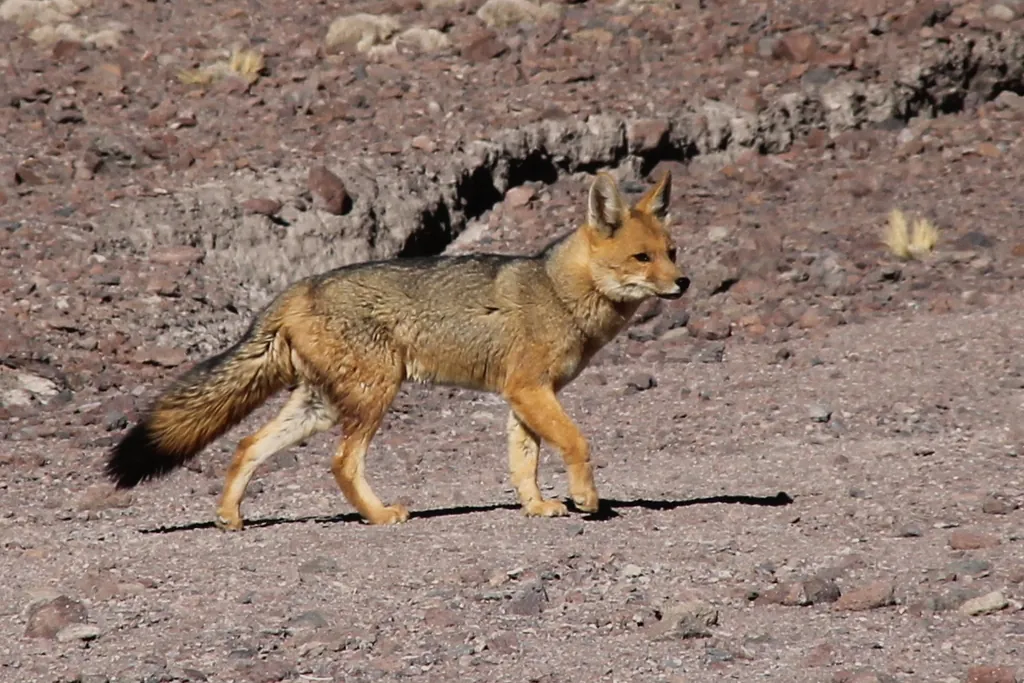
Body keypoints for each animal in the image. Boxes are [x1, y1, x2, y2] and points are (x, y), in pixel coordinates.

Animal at [105, 170, 690, 530]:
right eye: (642, 258)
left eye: (672, 252)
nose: (683, 283)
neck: (559, 290)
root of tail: (297, 288)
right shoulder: (529, 390)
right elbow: (576, 443)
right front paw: (587, 499)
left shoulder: (523, 397)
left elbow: (524, 462)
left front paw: (537, 506)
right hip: (374, 395)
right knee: (341, 462)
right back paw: (380, 515)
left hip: (318, 407)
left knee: (248, 444)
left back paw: (230, 516)